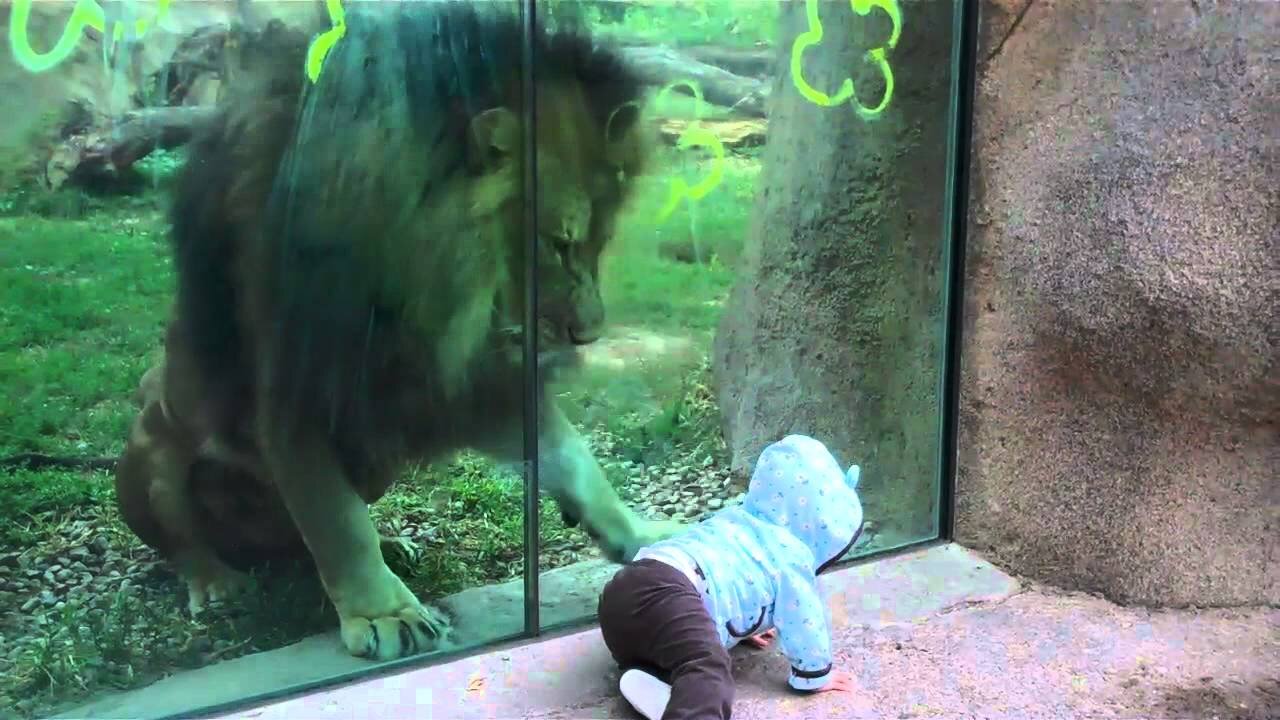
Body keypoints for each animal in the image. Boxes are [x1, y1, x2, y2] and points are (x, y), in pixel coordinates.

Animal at [113, 2, 686, 661]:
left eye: (598, 243)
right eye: (558, 243)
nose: (587, 336)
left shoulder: (461, 381)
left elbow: (573, 456)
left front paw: (639, 530)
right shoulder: (296, 384)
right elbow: (335, 519)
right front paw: (385, 614)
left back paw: (390, 546)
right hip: (150, 454)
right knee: (185, 541)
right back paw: (216, 581)